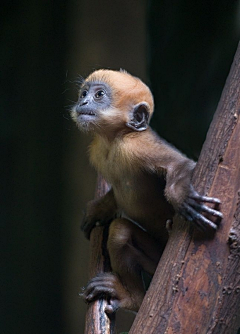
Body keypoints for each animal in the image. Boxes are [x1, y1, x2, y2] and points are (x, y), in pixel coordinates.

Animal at [71, 69, 223, 314]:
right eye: (84, 93)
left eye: (99, 95)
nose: (82, 102)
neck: (114, 141)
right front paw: (98, 210)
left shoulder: (136, 146)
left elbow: (181, 165)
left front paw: (182, 198)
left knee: (120, 232)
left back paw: (133, 299)